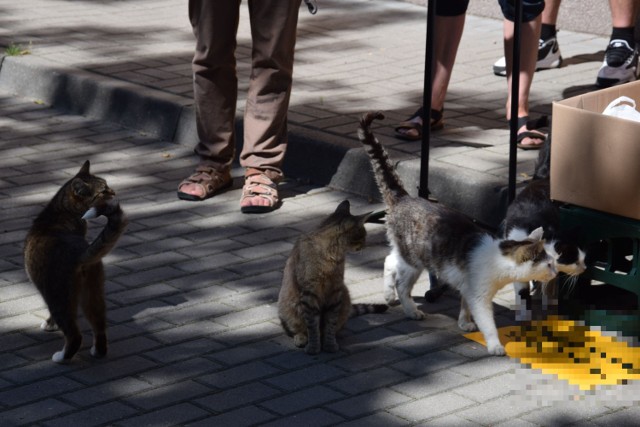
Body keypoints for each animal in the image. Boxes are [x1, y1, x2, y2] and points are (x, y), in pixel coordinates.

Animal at [25, 160, 127, 364]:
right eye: (103, 190)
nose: (113, 192)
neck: (60, 211)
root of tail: (80, 253)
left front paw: (49, 325)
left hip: (58, 296)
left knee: (74, 334)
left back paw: (62, 357)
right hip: (93, 293)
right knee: (99, 326)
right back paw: (98, 351)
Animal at [278, 201, 388, 354]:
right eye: (363, 235)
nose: (365, 245)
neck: (332, 256)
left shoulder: (335, 292)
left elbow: (330, 323)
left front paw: (329, 344)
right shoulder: (309, 294)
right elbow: (312, 325)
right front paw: (314, 346)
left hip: (345, 298)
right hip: (289, 307)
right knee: (297, 328)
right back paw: (301, 338)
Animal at [358, 112, 556, 356]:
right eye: (549, 264)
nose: (556, 272)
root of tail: (404, 197)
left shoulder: (467, 287)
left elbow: (465, 304)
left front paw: (464, 322)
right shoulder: (479, 295)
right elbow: (487, 322)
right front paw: (495, 345)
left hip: (408, 251)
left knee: (389, 260)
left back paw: (388, 294)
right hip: (414, 262)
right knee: (402, 284)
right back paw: (410, 309)